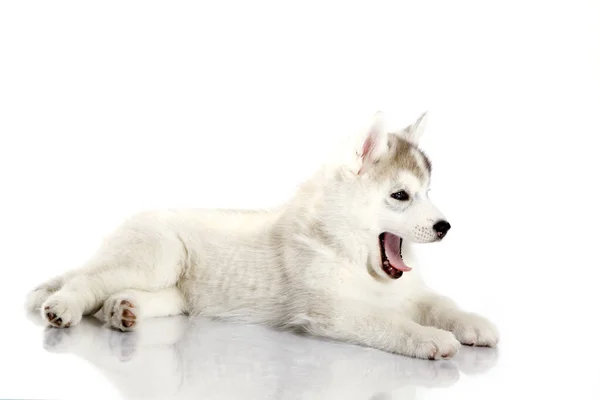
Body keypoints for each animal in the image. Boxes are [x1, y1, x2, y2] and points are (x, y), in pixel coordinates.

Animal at [27, 111, 496, 360]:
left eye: (429, 193)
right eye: (401, 196)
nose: (444, 227)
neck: (348, 252)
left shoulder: (409, 291)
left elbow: (440, 304)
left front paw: (472, 323)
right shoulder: (332, 311)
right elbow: (390, 322)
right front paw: (431, 338)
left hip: (176, 289)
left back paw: (122, 309)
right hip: (157, 257)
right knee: (86, 281)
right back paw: (63, 307)